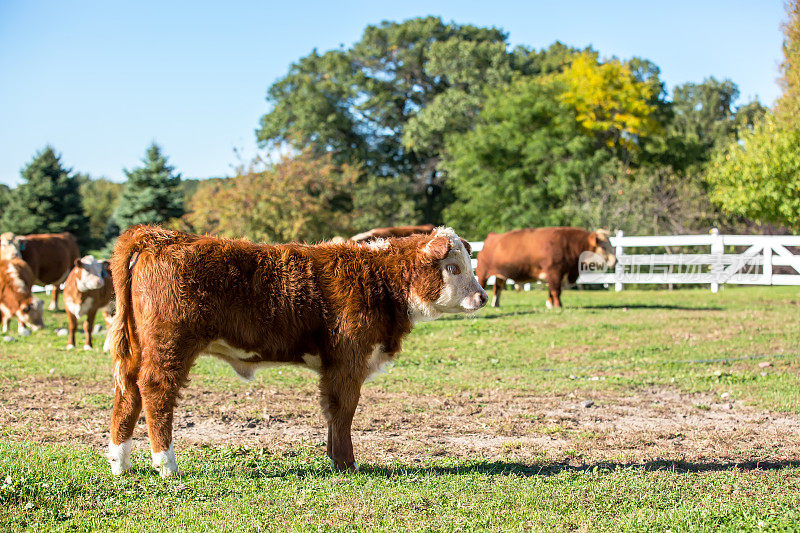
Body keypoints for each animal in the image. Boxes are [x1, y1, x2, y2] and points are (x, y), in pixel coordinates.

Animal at [107, 223, 488, 474]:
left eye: (470, 265)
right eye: (453, 267)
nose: (482, 297)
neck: (379, 278)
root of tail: (159, 236)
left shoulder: (336, 365)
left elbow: (333, 413)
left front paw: (335, 461)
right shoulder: (348, 361)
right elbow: (343, 411)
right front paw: (347, 464)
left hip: (139, 347)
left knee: (127, 392)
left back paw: (119, 463)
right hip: (170, 345)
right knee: (156, 391)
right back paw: (166, 465)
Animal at [478, 225, 616, 308]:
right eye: (604, 247)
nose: (615, 260)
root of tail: (492, 236)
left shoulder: (557, 275)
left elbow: (552, 290)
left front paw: (550, 304)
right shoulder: (555, 272)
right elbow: (556, 290)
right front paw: (558, 305)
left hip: (500, 275)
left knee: (497, 288)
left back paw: (496, 304)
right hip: (483, 273)